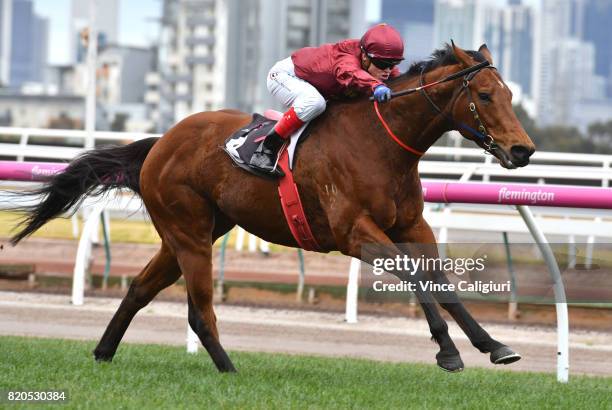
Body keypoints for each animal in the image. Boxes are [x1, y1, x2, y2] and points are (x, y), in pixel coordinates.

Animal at [9, 43, 536, 374]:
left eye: (511, 94)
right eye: (484, 95)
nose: (523, 150)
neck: (381, 143)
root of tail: (161, 143)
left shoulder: (412, 225)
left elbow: (440, 281)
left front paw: (494, 345)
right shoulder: (354, 233)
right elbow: (413, 276)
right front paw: (448, 352)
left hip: (195, 231)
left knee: (140, 288)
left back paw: (103, 352)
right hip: (190, 233)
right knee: (200, 311)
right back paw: (229, 370)